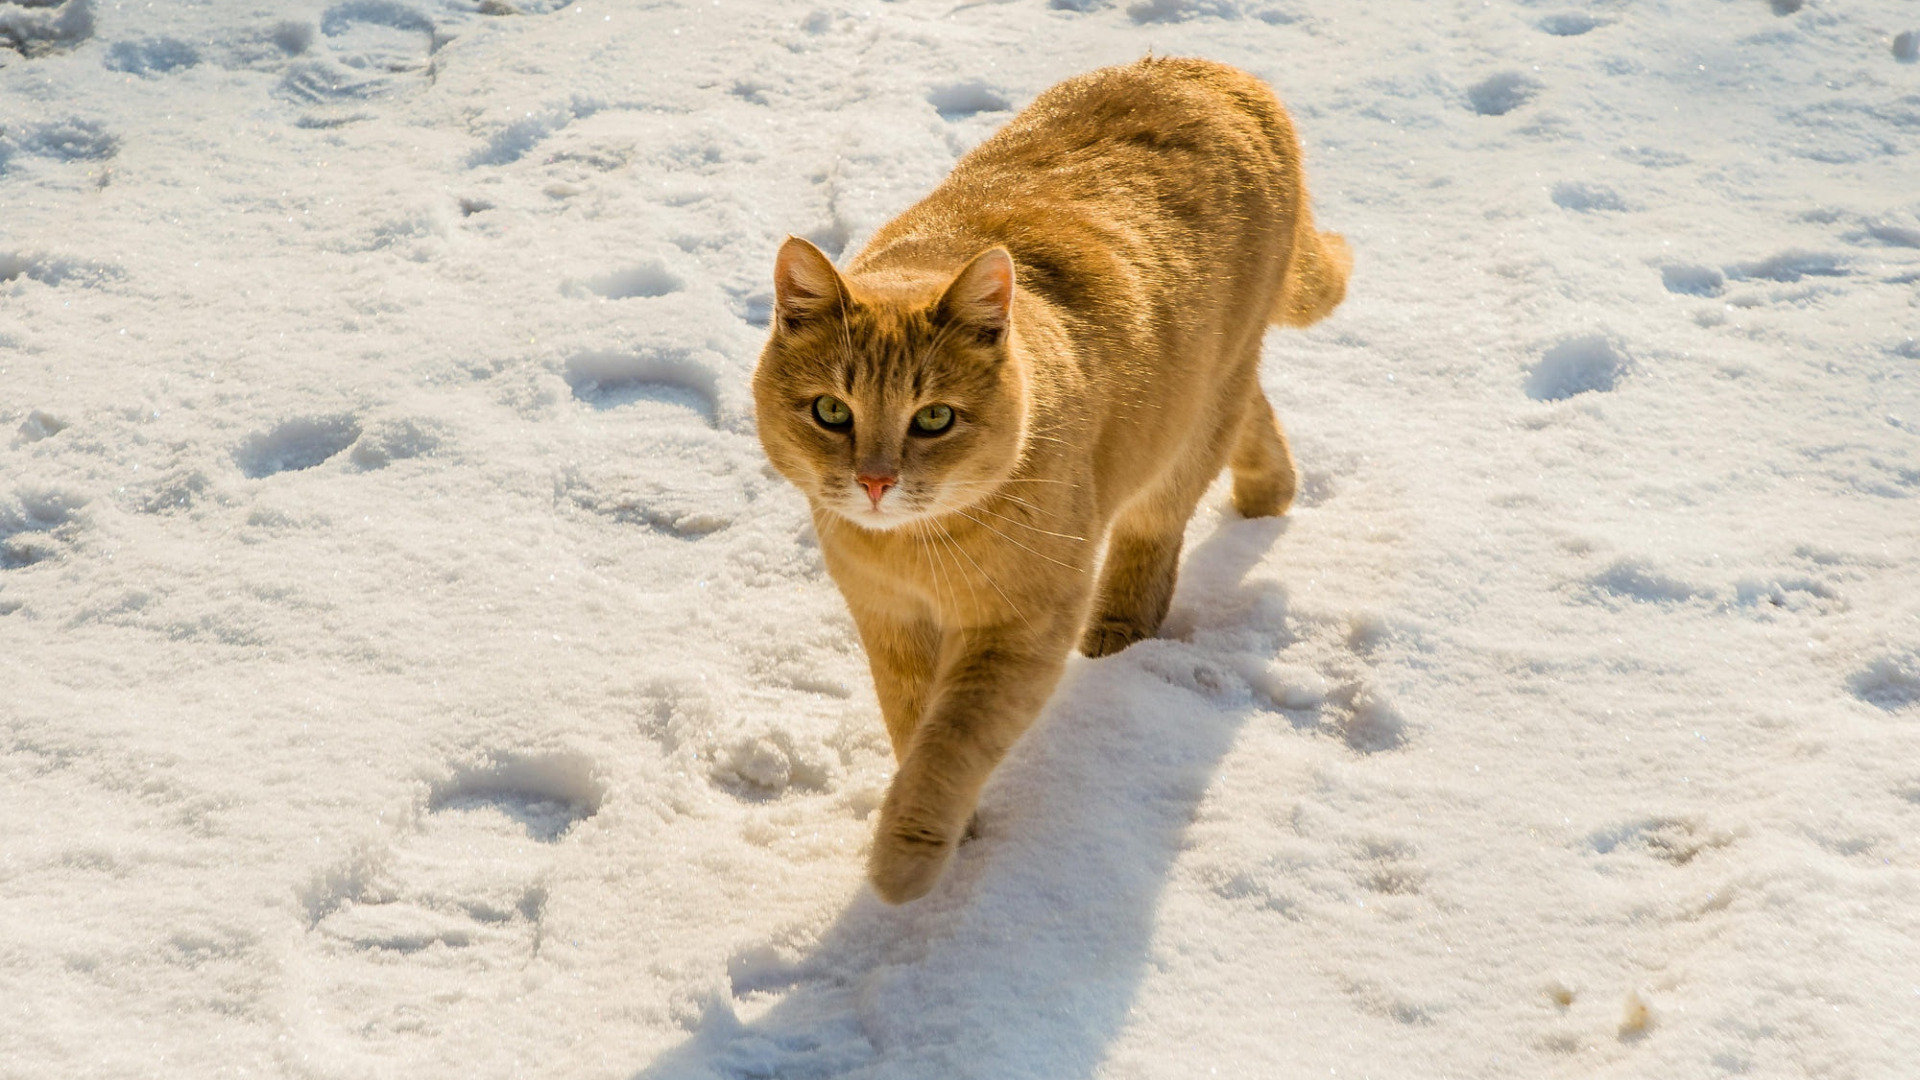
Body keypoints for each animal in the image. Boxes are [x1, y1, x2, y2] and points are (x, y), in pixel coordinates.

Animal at [748, 58, 1351, 899]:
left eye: (934, 419)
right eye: (831, 411)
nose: (874, 481)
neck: (915, 551)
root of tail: (1217, 71)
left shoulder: (1020, 627)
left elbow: (951, 742)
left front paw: (908, 856)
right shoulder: (889, 622)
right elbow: (912, 721)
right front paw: (954, 827)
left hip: (1187, 425)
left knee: (1160, 524)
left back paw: (1122, 629)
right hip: (1210, 393)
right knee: (1254, 414)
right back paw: (1271, 491)